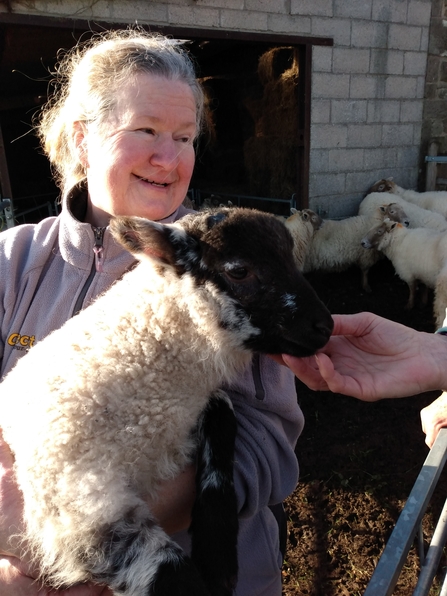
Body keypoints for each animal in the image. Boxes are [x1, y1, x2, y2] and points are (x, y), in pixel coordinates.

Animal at [0, 206, 332, 596]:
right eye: (239, 270)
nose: (325, 327)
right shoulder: (78, 501)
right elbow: (174, 576)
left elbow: (224, 421)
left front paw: (218, 554)